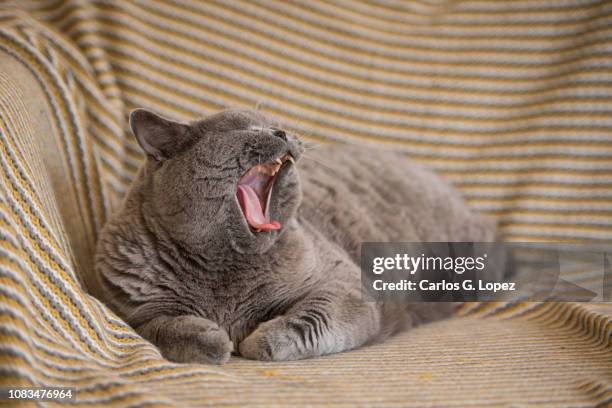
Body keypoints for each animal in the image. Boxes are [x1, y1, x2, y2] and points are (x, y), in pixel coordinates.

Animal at [94, 108, 498, 364]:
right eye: (247, 129)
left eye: (272, 123)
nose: (281, 132)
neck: (223, 270)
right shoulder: (133, 309)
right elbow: (163, 327)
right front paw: (215, 340)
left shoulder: (341, 283)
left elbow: (307, 320)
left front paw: (255, 341)